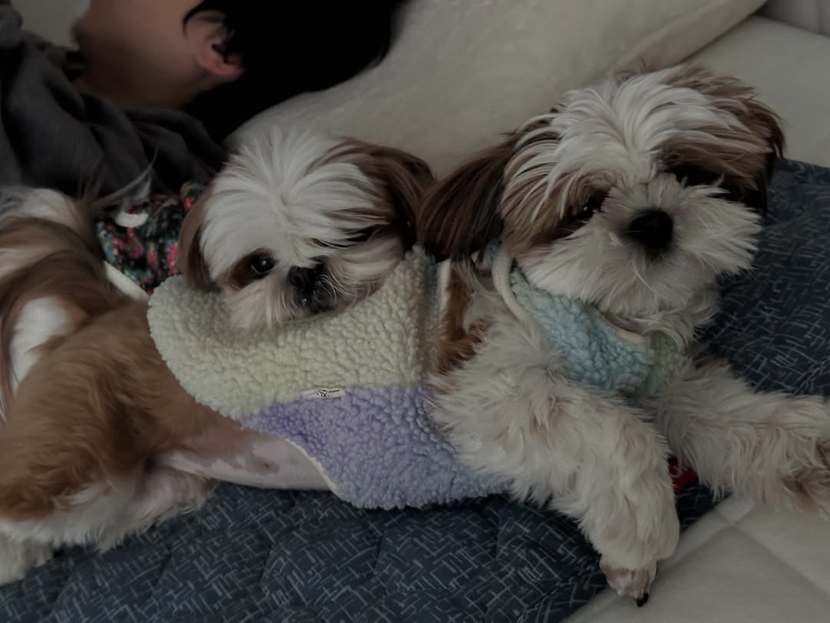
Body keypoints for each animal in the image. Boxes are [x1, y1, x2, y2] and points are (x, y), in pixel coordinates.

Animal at [0, 127, 432, 585]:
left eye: (350, 237)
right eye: (260, 264)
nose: (304, 273)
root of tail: (93, 318)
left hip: (145, 489)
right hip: (69, 464)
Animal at [418, 65, 830, 603]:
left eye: (687, 173)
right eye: (585, 207)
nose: (651, 220)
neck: (612, 318)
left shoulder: (663, 377)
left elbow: (724, 414)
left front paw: (808, 448)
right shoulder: (480, 385)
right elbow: (611, 423)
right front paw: (640, 523)